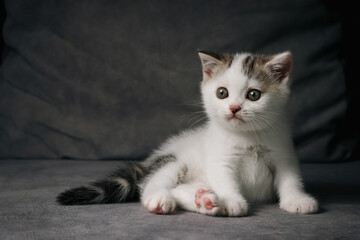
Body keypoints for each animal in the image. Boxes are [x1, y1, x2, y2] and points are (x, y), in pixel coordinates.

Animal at [57, 50, 320, 216]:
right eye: (222, 93)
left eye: (254, 95)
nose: (234, 108)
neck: (248, 137)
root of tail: (153, 159)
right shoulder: (220, 158)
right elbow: (225, 179)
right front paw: (232, 201)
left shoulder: (283, 154)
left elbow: (290, 179)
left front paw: (297, 200)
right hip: (173, 161)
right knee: (152, 185)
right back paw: (161, 199)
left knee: (180, 189)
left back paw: (203, 199)